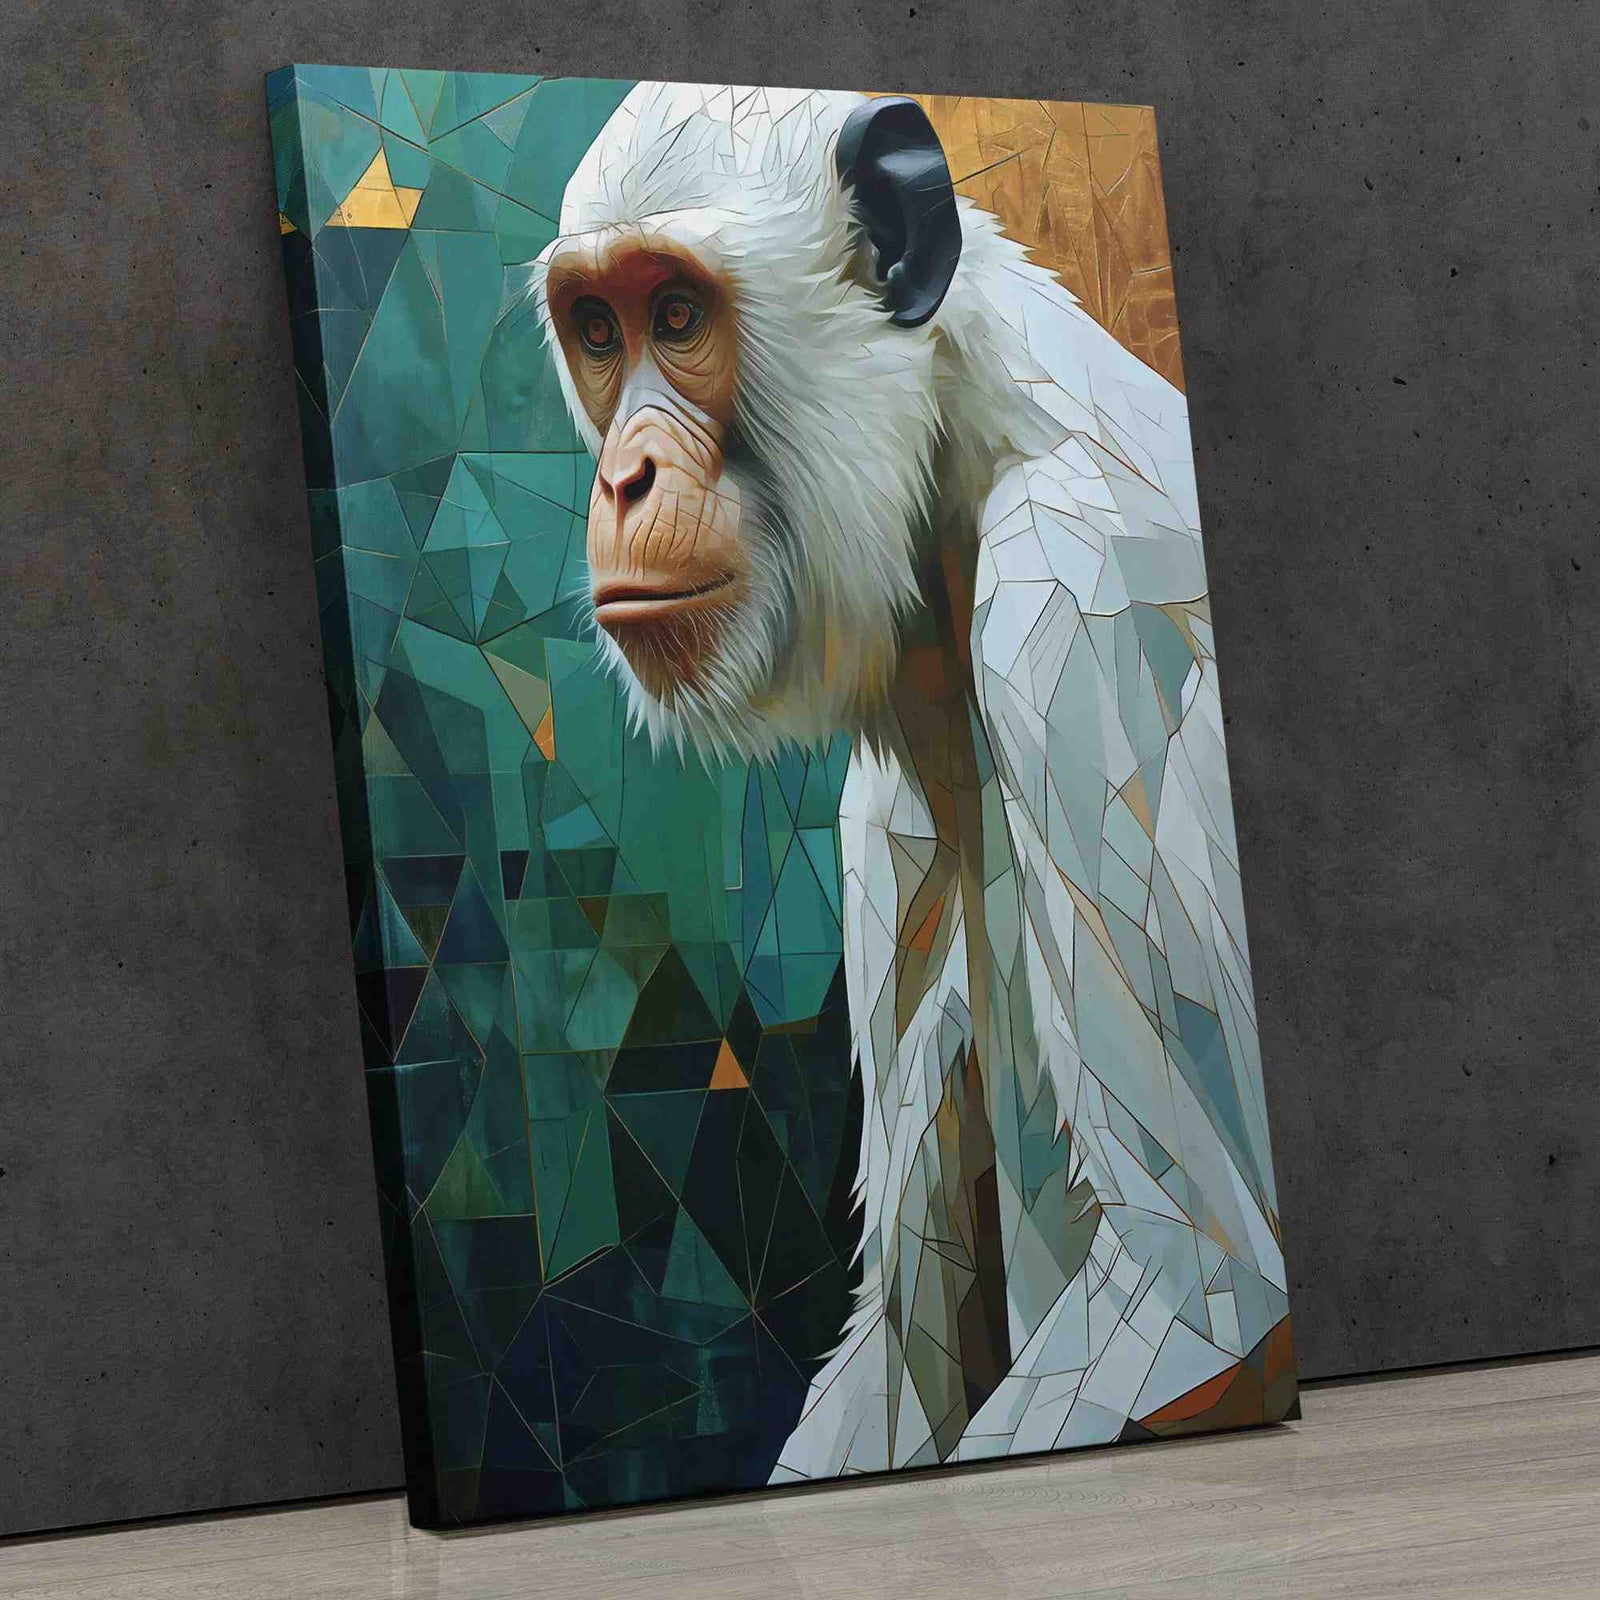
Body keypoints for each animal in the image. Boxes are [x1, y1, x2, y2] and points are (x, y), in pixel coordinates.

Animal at [532, 83, 1292, 1477]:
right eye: (599, 328)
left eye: (678, 315)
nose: (624, 477)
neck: (965, 431)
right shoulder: (876, 818)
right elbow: (894, 1342)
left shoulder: (1067, 616)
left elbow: (1201, 1294)